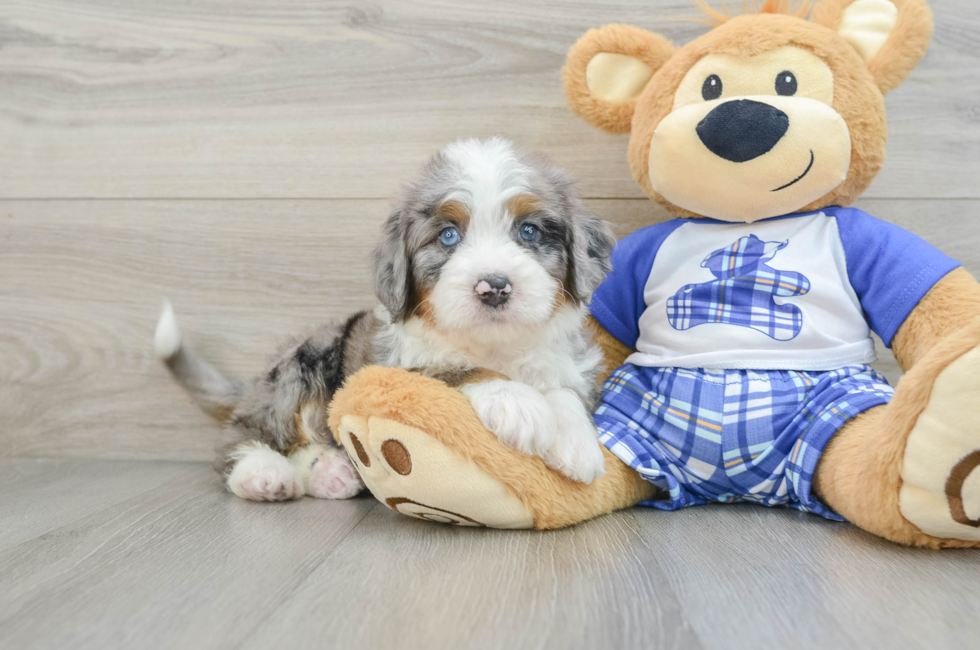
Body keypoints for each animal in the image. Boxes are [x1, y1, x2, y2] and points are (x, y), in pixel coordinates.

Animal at [157, 138, 616, 502]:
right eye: (448, 235)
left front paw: (577, 443)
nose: (495, 287)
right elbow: (453, 368)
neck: (494, 344)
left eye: (529, 232)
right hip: (305, 365)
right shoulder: (397, 369)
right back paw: (262, 473)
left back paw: (332, 474)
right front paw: (517, 402)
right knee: (245, 433)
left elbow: (564, 390)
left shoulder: (566, 361)